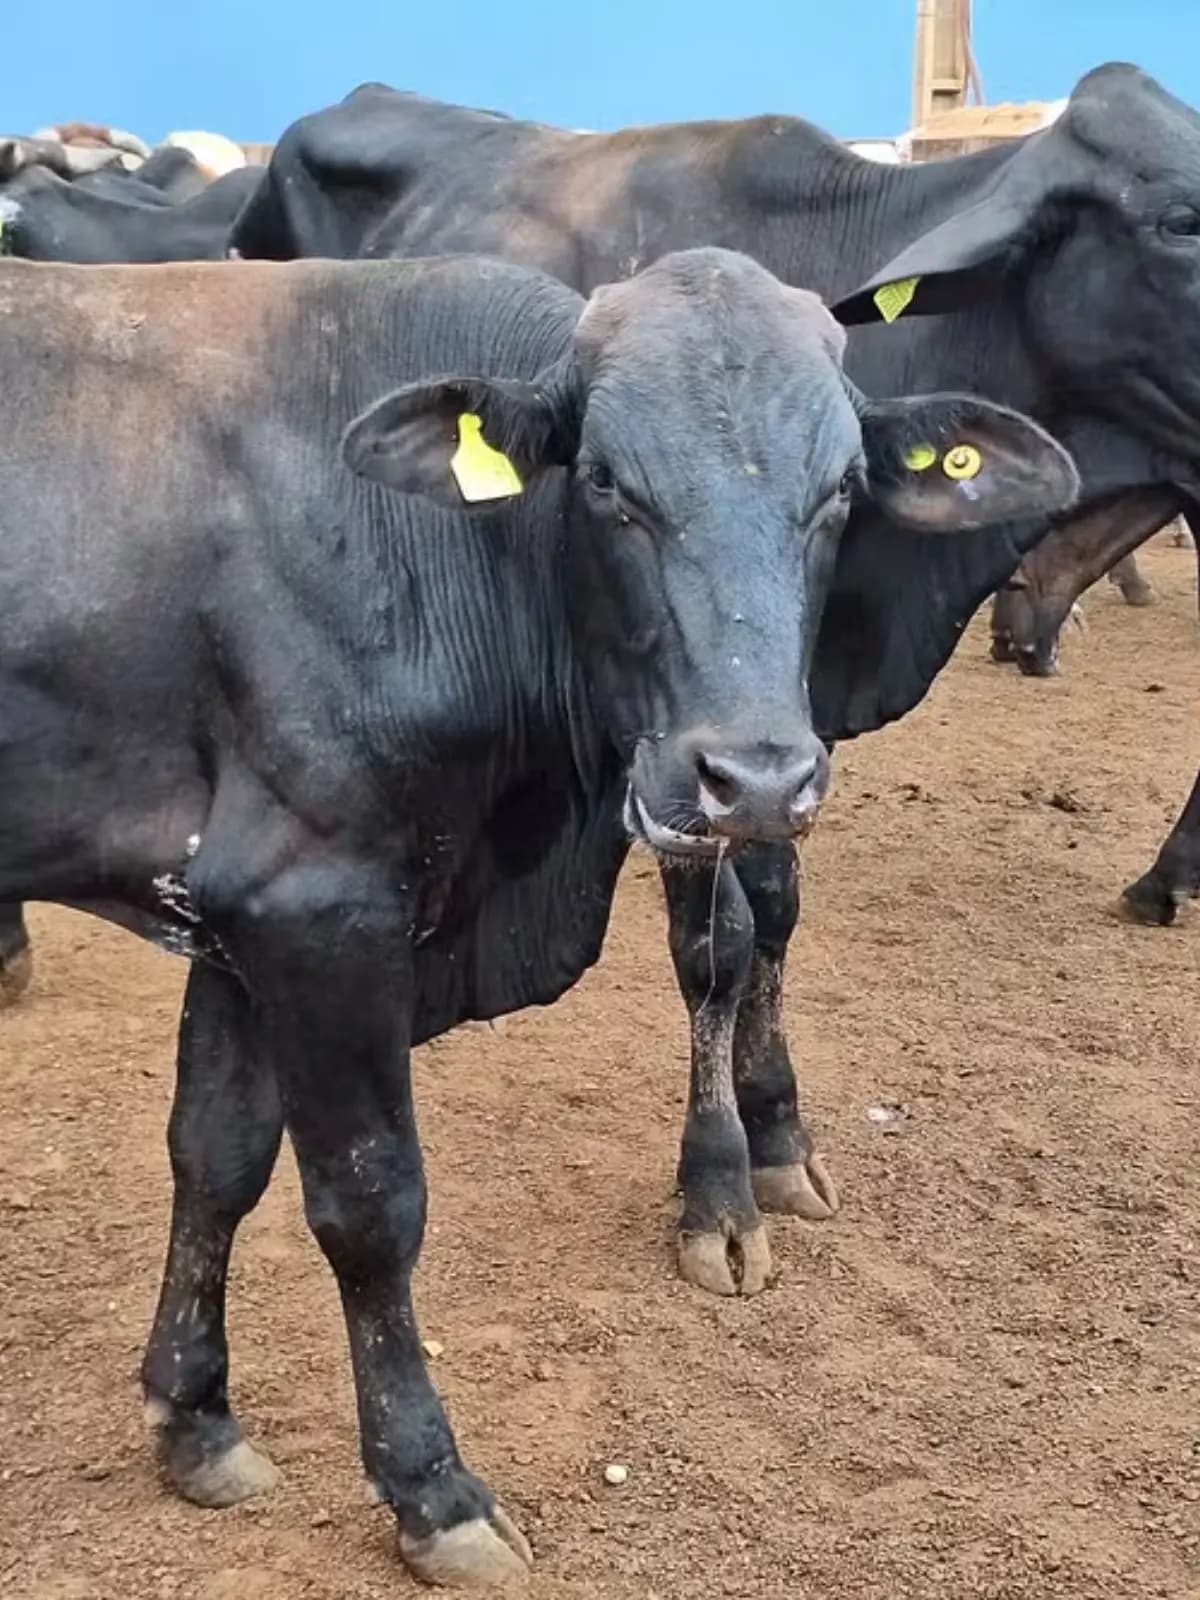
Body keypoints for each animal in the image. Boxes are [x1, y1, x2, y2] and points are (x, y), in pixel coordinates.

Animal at [0, 247, 1075, 1583]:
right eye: (609, 481)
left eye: (839, 490)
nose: (756, 777)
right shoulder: (318, 903)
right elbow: (370, 1205)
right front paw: (432, 1488)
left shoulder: (237, 903)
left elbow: (216, 1156)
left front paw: (194, 1417)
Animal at [224, 62, 1200, 1290]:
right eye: (1180, 220)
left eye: (843, 485)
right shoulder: (669, 746)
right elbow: (715, 948)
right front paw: (718, 1183)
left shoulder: (781, 735)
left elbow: (775, 912)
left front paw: (779, 1128)